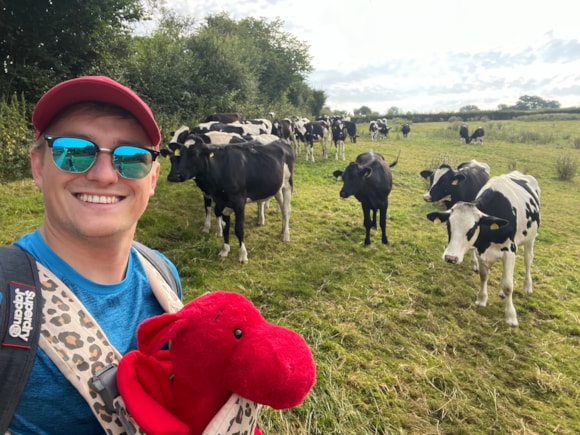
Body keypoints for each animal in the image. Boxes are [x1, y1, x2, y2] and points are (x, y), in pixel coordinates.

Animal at [424, 170, 540, 328]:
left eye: (472, 229)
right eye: (448, 225)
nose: (450, 258)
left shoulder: (510, 251)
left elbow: (508, 285)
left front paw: (511, 316)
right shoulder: (481, 250)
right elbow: (484, 276)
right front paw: (482, 299)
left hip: (530, 239)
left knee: (528, 260)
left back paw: (528, 287)